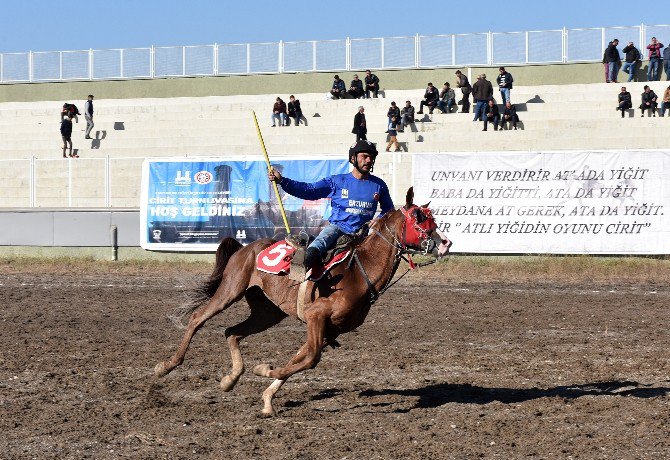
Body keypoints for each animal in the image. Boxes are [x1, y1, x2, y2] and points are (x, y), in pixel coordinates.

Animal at [154, 187, 452, 416]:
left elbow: (302, 357)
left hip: (267, 312)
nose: (445, 243)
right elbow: (310, 359)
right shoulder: (315, 316)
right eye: (419, 217)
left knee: (232, 332)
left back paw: (230, 379)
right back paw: (166, 366)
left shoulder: (328, 329)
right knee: (198, 319)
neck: (359, 271)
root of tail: (246, 247)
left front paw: (267, 399)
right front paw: (264, 370)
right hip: (230, 290)